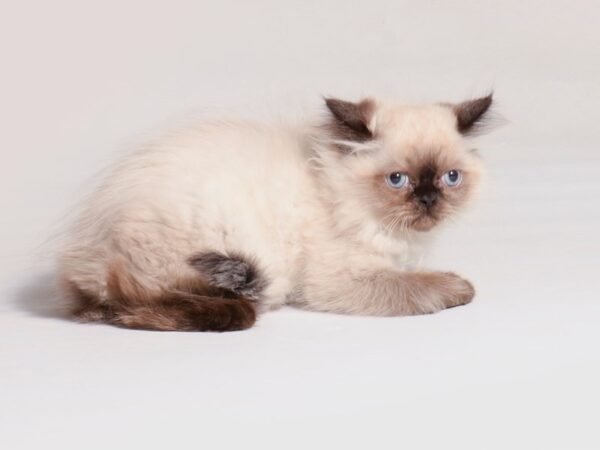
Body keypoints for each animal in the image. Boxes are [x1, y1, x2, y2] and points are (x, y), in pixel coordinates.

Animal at [58, 92, 494, 330]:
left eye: (451, 178)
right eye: (398, 180)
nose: (428, 200)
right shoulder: (342, 278)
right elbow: (416, 286)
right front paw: (459, 287)